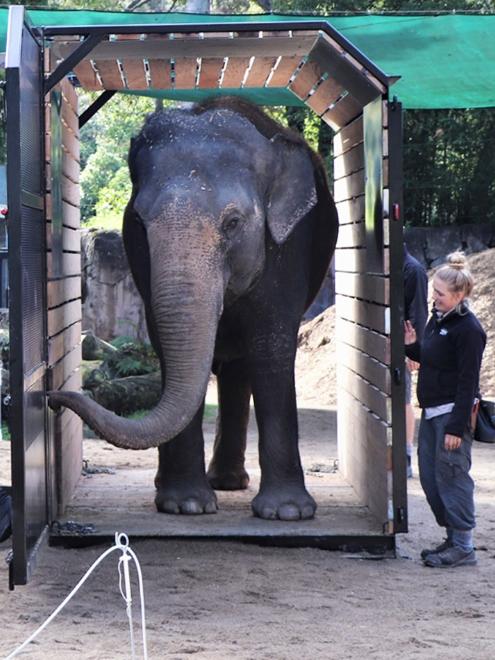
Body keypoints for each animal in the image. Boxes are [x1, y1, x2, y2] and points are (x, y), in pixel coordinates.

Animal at [49, 98, 338, 520]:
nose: (52, 398)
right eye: (138, 220)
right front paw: (185, 505)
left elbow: (271, 345)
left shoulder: (290, 245)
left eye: (233, 222)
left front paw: (287, 512)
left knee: (240, 368)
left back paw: (229, 483)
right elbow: (166, 345)